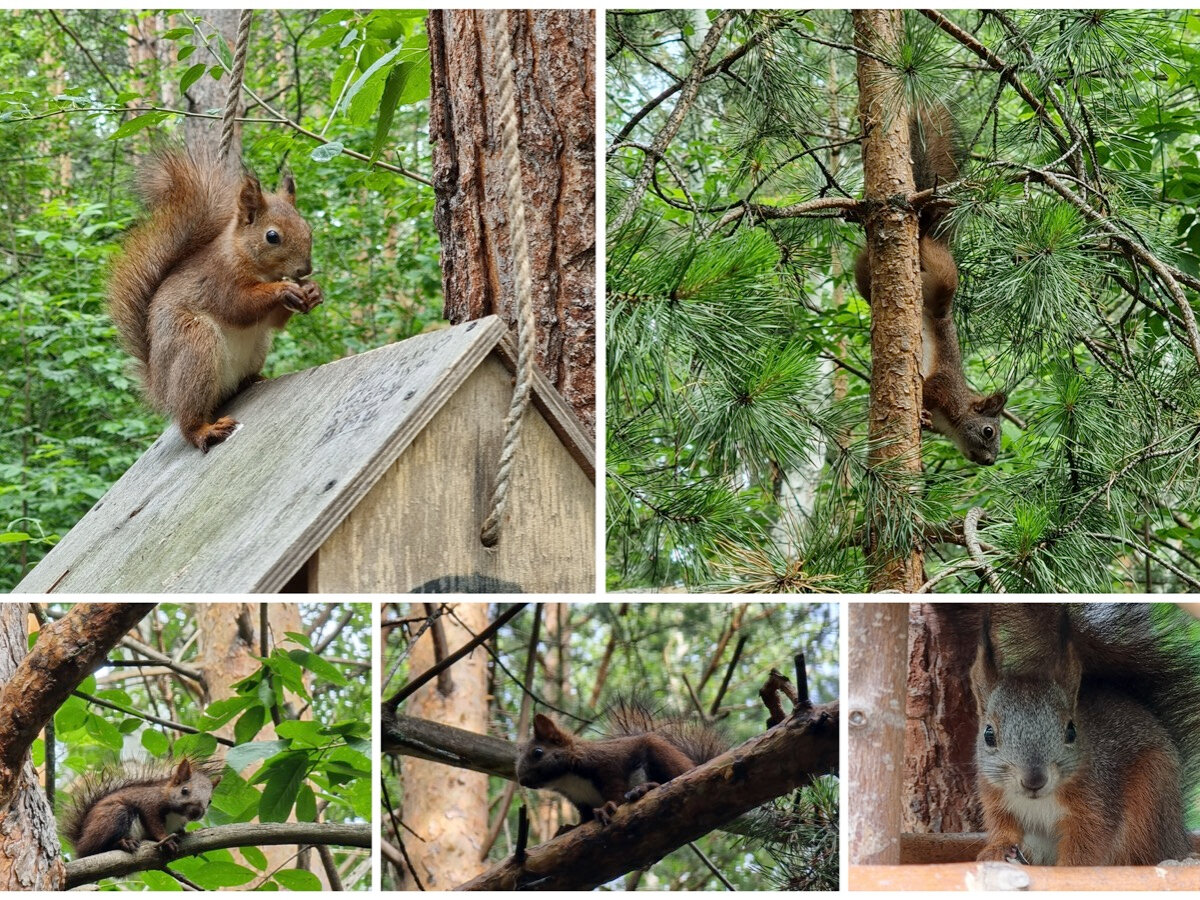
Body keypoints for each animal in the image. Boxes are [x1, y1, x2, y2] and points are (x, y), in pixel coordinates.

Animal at [60, 753, 222, 859]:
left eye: (210, 801)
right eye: (184, 790)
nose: (196, 812)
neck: (177, 815)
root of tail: (79, 843)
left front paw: (184, 833)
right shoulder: (149, 804)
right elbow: (154, 825)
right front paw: (167, 840)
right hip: (113, 815)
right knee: (94, 849)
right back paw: (123, 843)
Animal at [107, 150, 321, 453]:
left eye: (308, 228)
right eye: (272, 236)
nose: (305, 270)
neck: (244, 255)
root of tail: (159, 387)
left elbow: (274, 322)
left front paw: (313, 292)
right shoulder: (218, 282)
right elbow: (239, 306)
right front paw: (283, 290)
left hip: (257, 346)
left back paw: (253, 380)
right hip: (195, 345)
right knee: (188, 419)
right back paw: (204, 430)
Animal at [513, 696, 724, 830]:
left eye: (538, 752)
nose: (522, 780)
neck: (568, 779)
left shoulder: (608, 765)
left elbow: (615, 792)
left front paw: (608, 807)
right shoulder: (579, 800)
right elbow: (584, 817)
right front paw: (570, 828)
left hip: (662, 756)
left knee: (674, 780)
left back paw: (645, 788)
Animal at [849, 107, 1008, 465]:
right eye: (988, 431)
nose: (989, 461)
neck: (956, 414)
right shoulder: (942, 387)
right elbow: (928, 389)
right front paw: (920, 411)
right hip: (944, 276)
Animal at [969, 607, 1200, 868]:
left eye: (1071, 731)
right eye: (989, 735)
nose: (1034, 780)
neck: (1038, 801)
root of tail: (1177, 838)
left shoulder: (1095, 803)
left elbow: (1087, 844)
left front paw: (1067, 868)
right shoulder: (997, 801)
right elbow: (1004, 829)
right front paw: (996, 850)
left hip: (1151, 797)